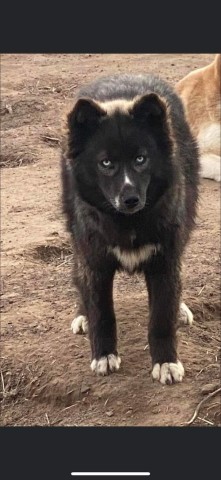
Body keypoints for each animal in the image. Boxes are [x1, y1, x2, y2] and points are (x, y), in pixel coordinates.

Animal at [61, 73, 199, 384]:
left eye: (140, 159)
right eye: (106, 163)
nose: (131, 199)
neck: (128, 222)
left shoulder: (164, 263)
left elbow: (161, 318)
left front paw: (165, 362)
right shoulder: (96, 263)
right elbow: (102, 314)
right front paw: (104, 355)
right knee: (79, 277)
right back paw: (82, 313)